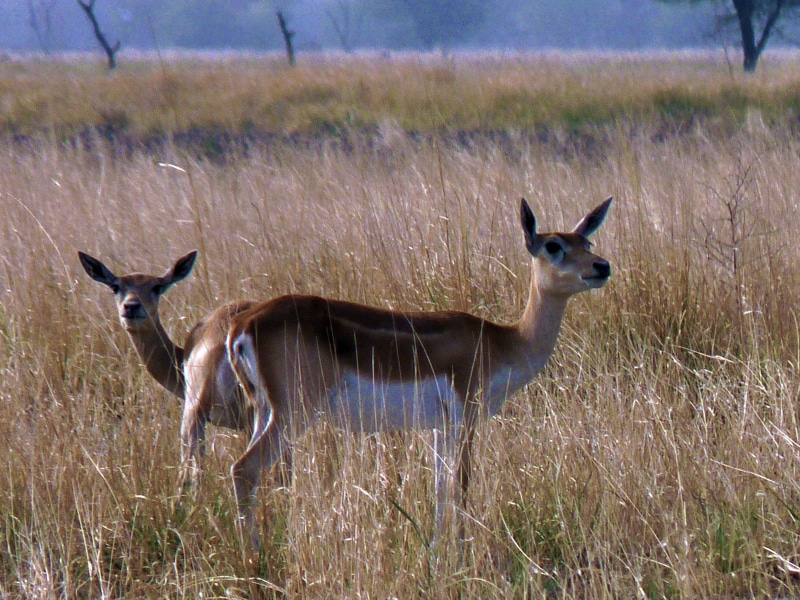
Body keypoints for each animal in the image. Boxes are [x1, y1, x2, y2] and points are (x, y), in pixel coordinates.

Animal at [226, 197, 612, 545]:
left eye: (587, 243)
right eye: (553, 245)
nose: (601, 266)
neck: (503, 341)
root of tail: (244, 323)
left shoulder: (439, 426)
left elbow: (440, 489)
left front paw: (437, 555)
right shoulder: (465, 417)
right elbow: (461, 485)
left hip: (263, 410)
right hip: (294, 412)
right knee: (244, 469)